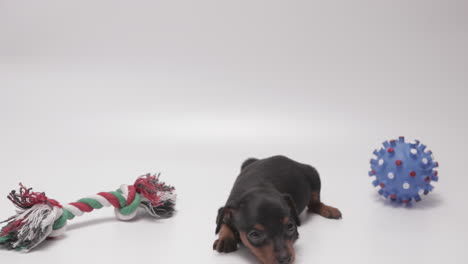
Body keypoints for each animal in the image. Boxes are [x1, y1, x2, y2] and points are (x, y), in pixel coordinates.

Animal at [214, 156, 342, 262]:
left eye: (290, 226)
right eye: (255, 234)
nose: (285, 259)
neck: (255, 187)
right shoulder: (226, 208)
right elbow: (223, 222)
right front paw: (225, 239)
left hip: (313, 176)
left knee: (314, 204)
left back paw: (329, 210)